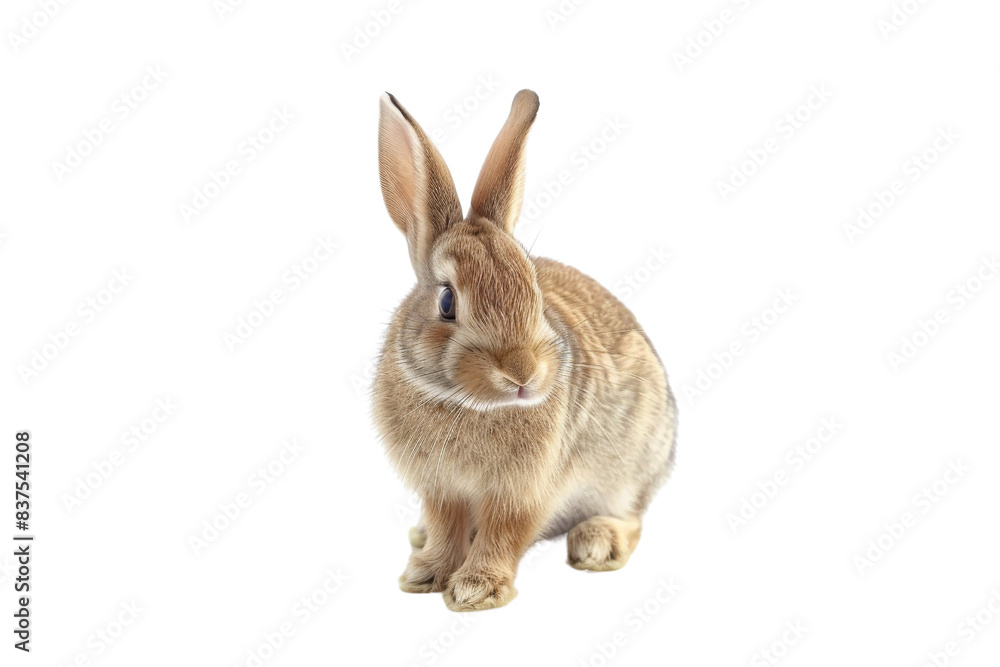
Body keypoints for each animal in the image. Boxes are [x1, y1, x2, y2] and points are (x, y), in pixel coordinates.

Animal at [373, 88, 677, 612]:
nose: (523, 373)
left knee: (633, 516)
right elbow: (447, 527)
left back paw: (599, 542)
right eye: (447, 301)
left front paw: (475, 589)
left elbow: (506, 532)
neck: (469, 405)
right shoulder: (441, 489)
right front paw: (426, 575)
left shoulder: (525, 490)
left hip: (632, 463)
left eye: (533, 291)